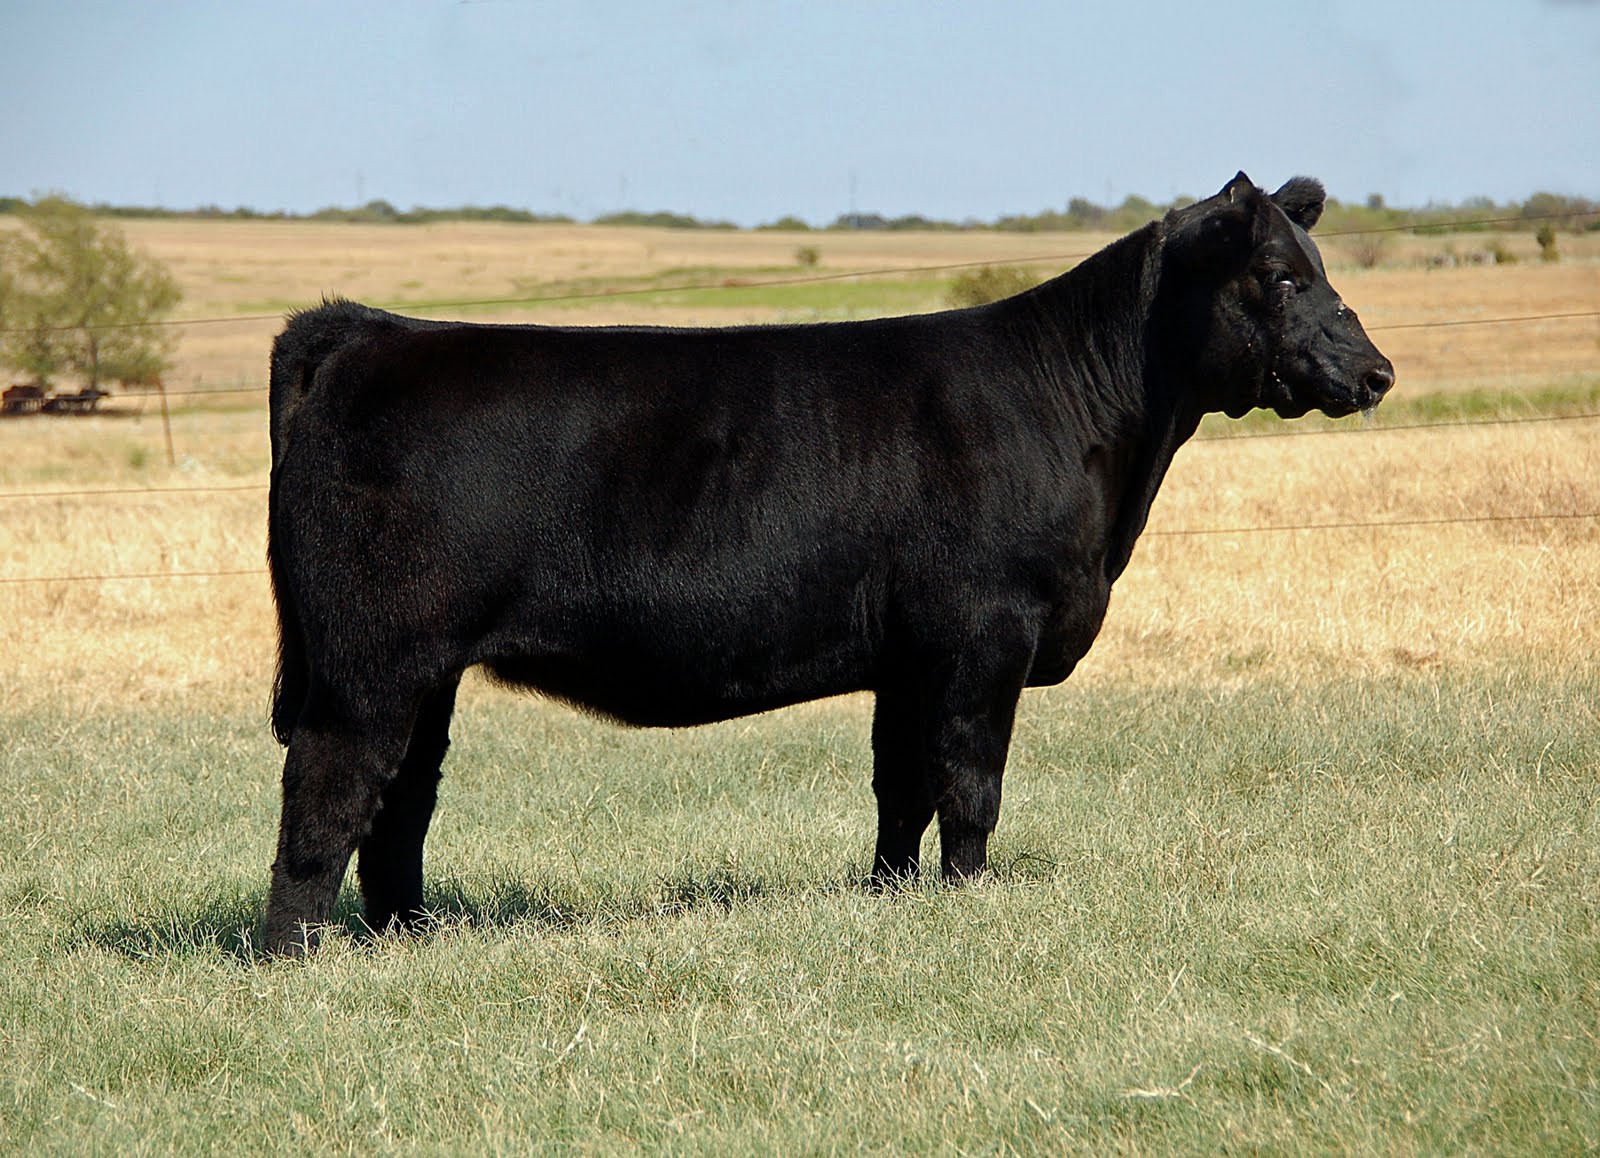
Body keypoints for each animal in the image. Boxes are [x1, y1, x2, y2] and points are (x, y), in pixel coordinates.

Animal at [262, 172, 1394, 954]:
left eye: (1321, 272)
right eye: (1281, 277)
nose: (1377, 371)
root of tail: (371, 333)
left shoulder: (912, 655)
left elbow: (902, 785)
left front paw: (893, 899)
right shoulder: (988, 629)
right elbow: (971, 783)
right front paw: (968, 900)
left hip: (426, 668)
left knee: (401, 800)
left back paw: (410, 941)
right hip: (372, 659)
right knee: (331, 785)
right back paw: (294, 956)